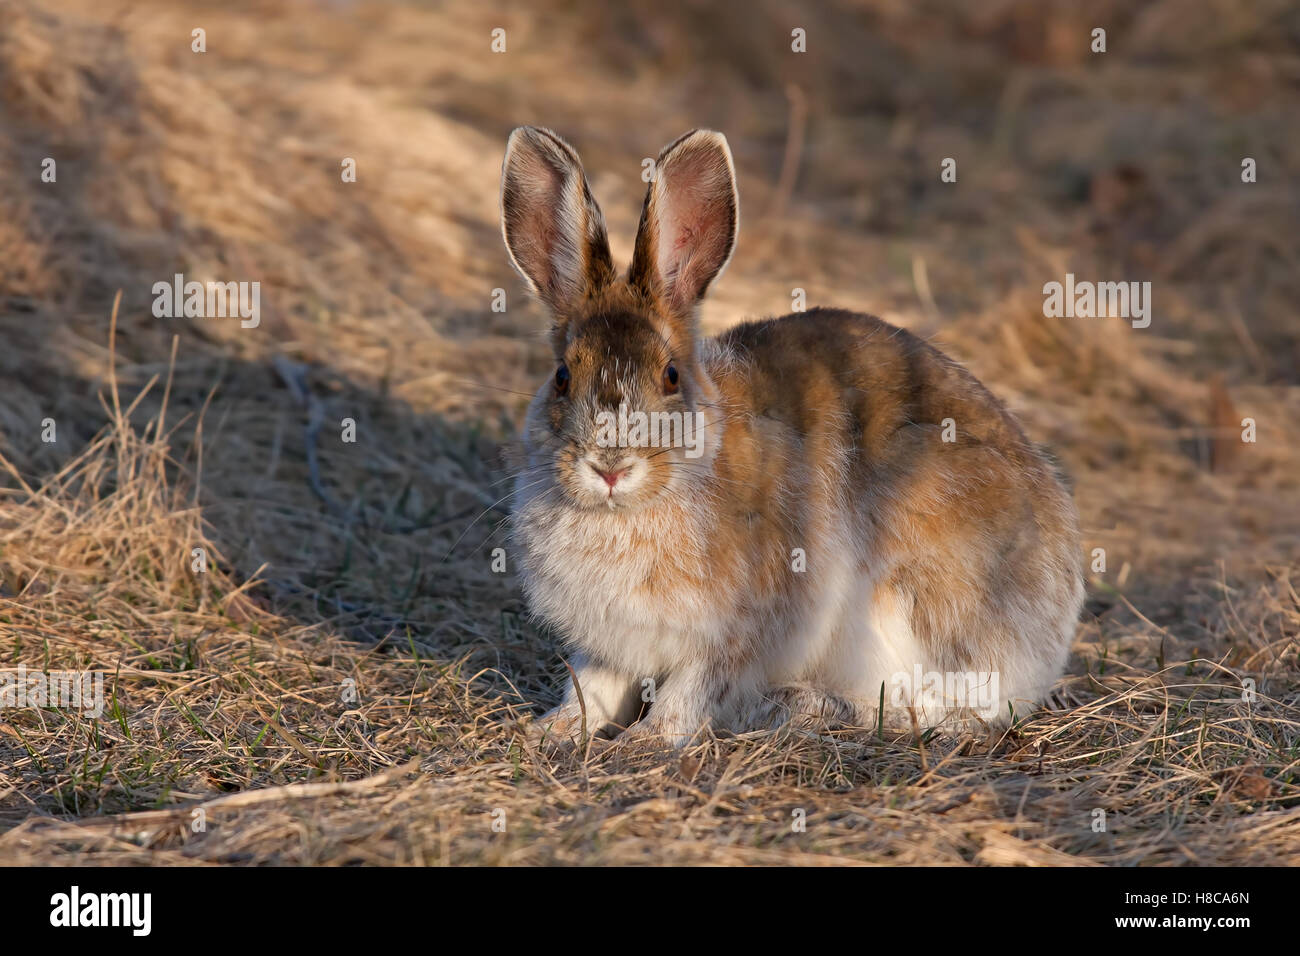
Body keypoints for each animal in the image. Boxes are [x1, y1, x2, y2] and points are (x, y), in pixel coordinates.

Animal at [501, 126, 1084, 748]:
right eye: (562, 377)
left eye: (671, 376)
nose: (609, 466)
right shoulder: (609, 645)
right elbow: (593, 687)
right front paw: (552, 731)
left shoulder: (735, 635)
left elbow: (690, 691)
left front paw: (649, 741)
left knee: (958, 707)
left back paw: (810, 706)